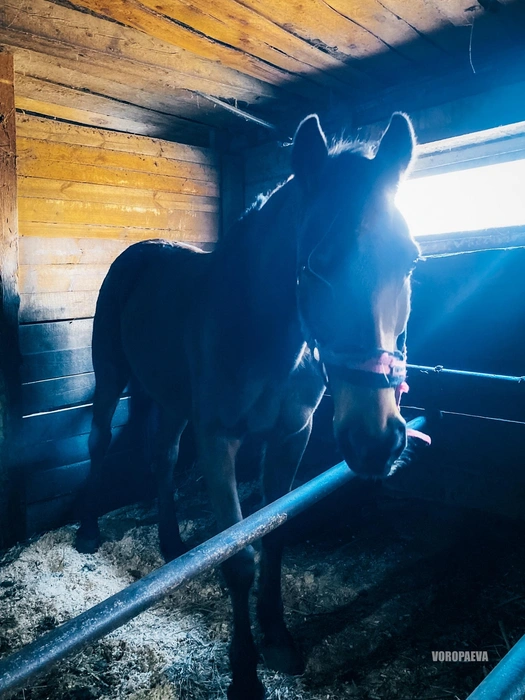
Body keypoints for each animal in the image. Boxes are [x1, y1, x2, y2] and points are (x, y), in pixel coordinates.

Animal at [75, 112, 420, 699]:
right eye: (318, 264)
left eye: (411, 260)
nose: (376, 441)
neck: (261, 329)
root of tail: (139, 253)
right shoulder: (219, 441)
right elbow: (238, 558)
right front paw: (244, 673)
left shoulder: (289, 439)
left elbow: (274, 534)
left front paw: (278, 638)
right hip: (112, 378)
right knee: (99, 441)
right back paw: (89, 532)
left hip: (171, 401)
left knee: (162, 458)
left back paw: (172, 543)